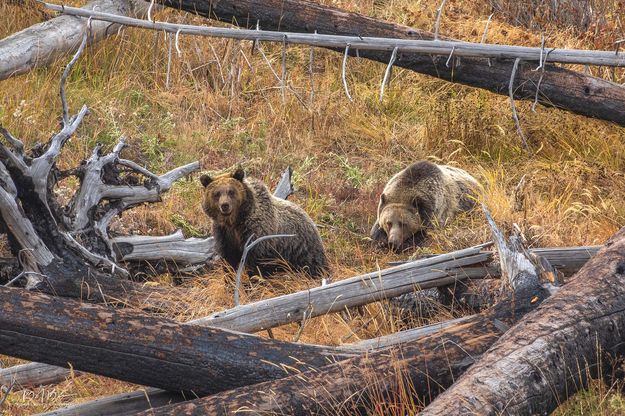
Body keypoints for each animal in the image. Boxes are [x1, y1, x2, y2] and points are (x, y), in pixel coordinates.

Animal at [200, 167, 330, 278]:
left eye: (231, 191)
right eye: (216, 193)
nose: (225, 205)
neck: (235, 221)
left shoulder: (256, 234)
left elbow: (256, 265)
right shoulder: (224, 234)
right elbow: (229, 261)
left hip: (301, 249)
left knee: (312, 266)